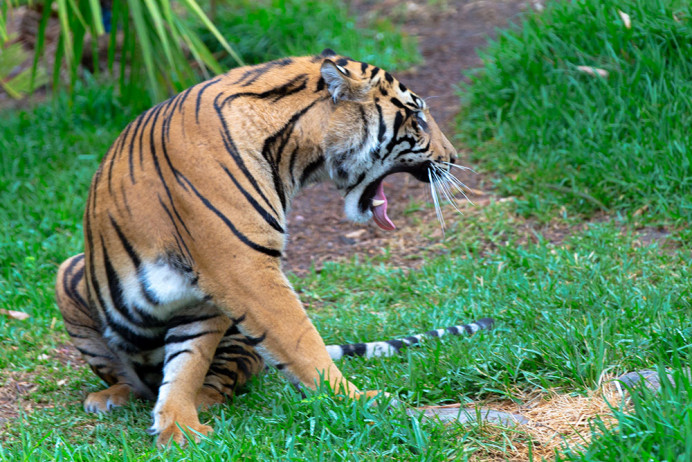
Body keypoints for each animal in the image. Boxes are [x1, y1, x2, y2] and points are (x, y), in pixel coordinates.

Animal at [54, 49, 479, 445]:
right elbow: (303, 343)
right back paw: (113, 395)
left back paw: (200, 401)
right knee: (135, 380)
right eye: (418, 119)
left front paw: (179, 424)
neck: (294, 151)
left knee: (218, 379)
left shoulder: (207, 296)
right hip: (69, 275)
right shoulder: (245, 271)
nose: (454, 157)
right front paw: (359, 400)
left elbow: (188, 361)